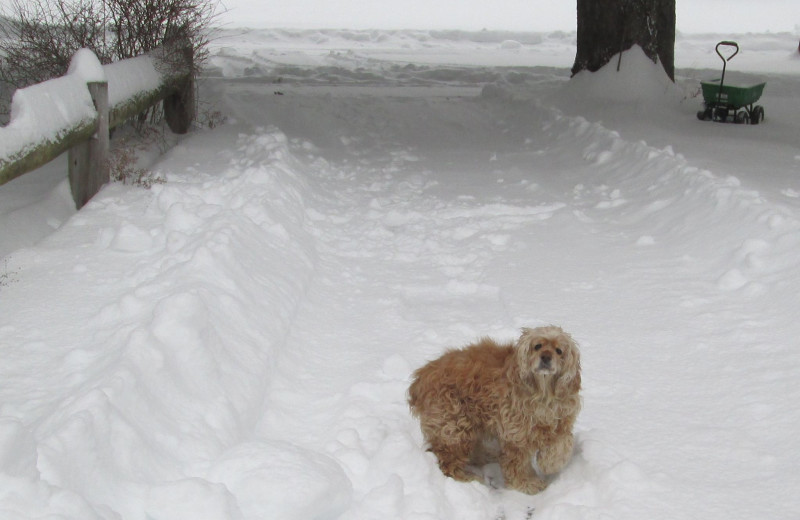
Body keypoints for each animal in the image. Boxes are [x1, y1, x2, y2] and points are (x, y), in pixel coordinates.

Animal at [410, 328, 580, 494]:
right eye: (537, 346)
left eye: (559, 350)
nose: (546, 357)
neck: (543, 391)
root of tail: (420, 377)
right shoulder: (516, 434)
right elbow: (517, 464)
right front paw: (527, 483)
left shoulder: (560, 422)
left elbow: (563, 442)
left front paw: (549, 464)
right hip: (455, 425)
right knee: (448, 461)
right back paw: (468, 478)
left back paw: (488, 455)